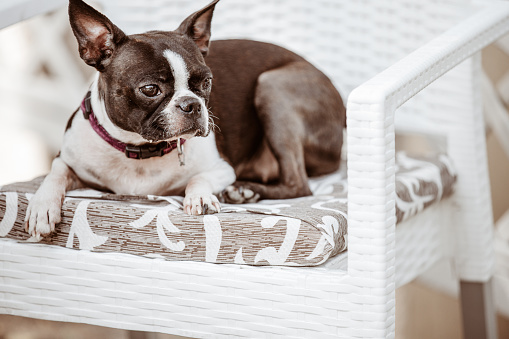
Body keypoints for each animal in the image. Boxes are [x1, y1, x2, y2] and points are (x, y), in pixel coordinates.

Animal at [23, 0, 346, 242]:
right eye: (150, 89)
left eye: (206, 82)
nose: (191, 104)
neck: (140, 151)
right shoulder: (68, 157)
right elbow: (56, 172)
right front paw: (42, 207)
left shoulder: (222, 167)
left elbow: (198, 177)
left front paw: (200, 197)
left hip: (274, 86)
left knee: (299, 184)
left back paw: (244, 190)